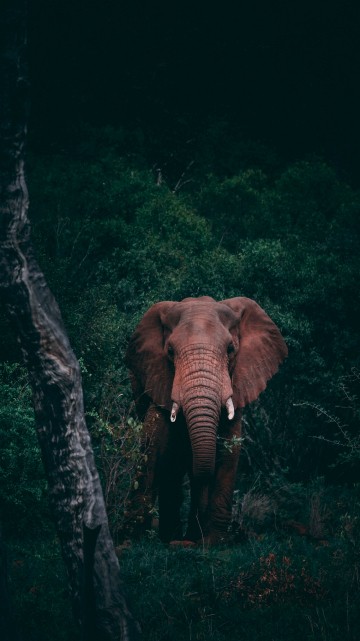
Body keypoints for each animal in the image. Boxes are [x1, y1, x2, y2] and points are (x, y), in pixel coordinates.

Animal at [125, 296, 288, 544]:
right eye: (170, 351)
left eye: (230, 349)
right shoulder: (157, 375)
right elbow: (153, 444)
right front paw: (133, 537)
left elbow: (230, 448)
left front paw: (214, 541)